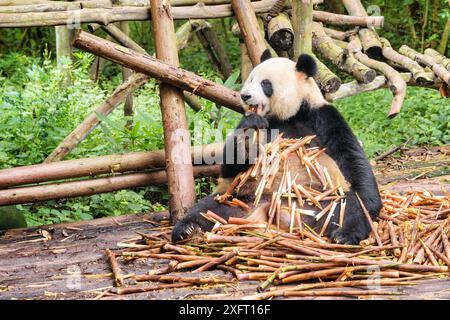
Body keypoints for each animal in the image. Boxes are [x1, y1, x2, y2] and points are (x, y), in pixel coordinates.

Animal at [171, 50, 382, 245]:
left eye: (265, 84)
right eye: (250, 79)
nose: (245, 96)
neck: (287, 115)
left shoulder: (321, 116)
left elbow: (351, 157)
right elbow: (230, 166)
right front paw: (250, 133)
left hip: (321, 199)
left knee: (346, 208)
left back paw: (344, 235)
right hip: (239, 197)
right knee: (208, 209)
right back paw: (186, 230)